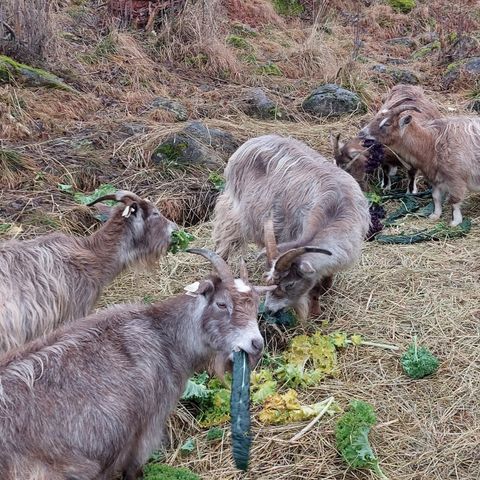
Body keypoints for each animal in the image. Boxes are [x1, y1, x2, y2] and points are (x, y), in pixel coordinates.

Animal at [214, 133, 372, 318]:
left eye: (289, 284)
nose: (269, 309)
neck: (335, 211)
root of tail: (252, 142)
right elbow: (315, 288)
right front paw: (316, 314)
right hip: (235, 208)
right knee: (225, 233)